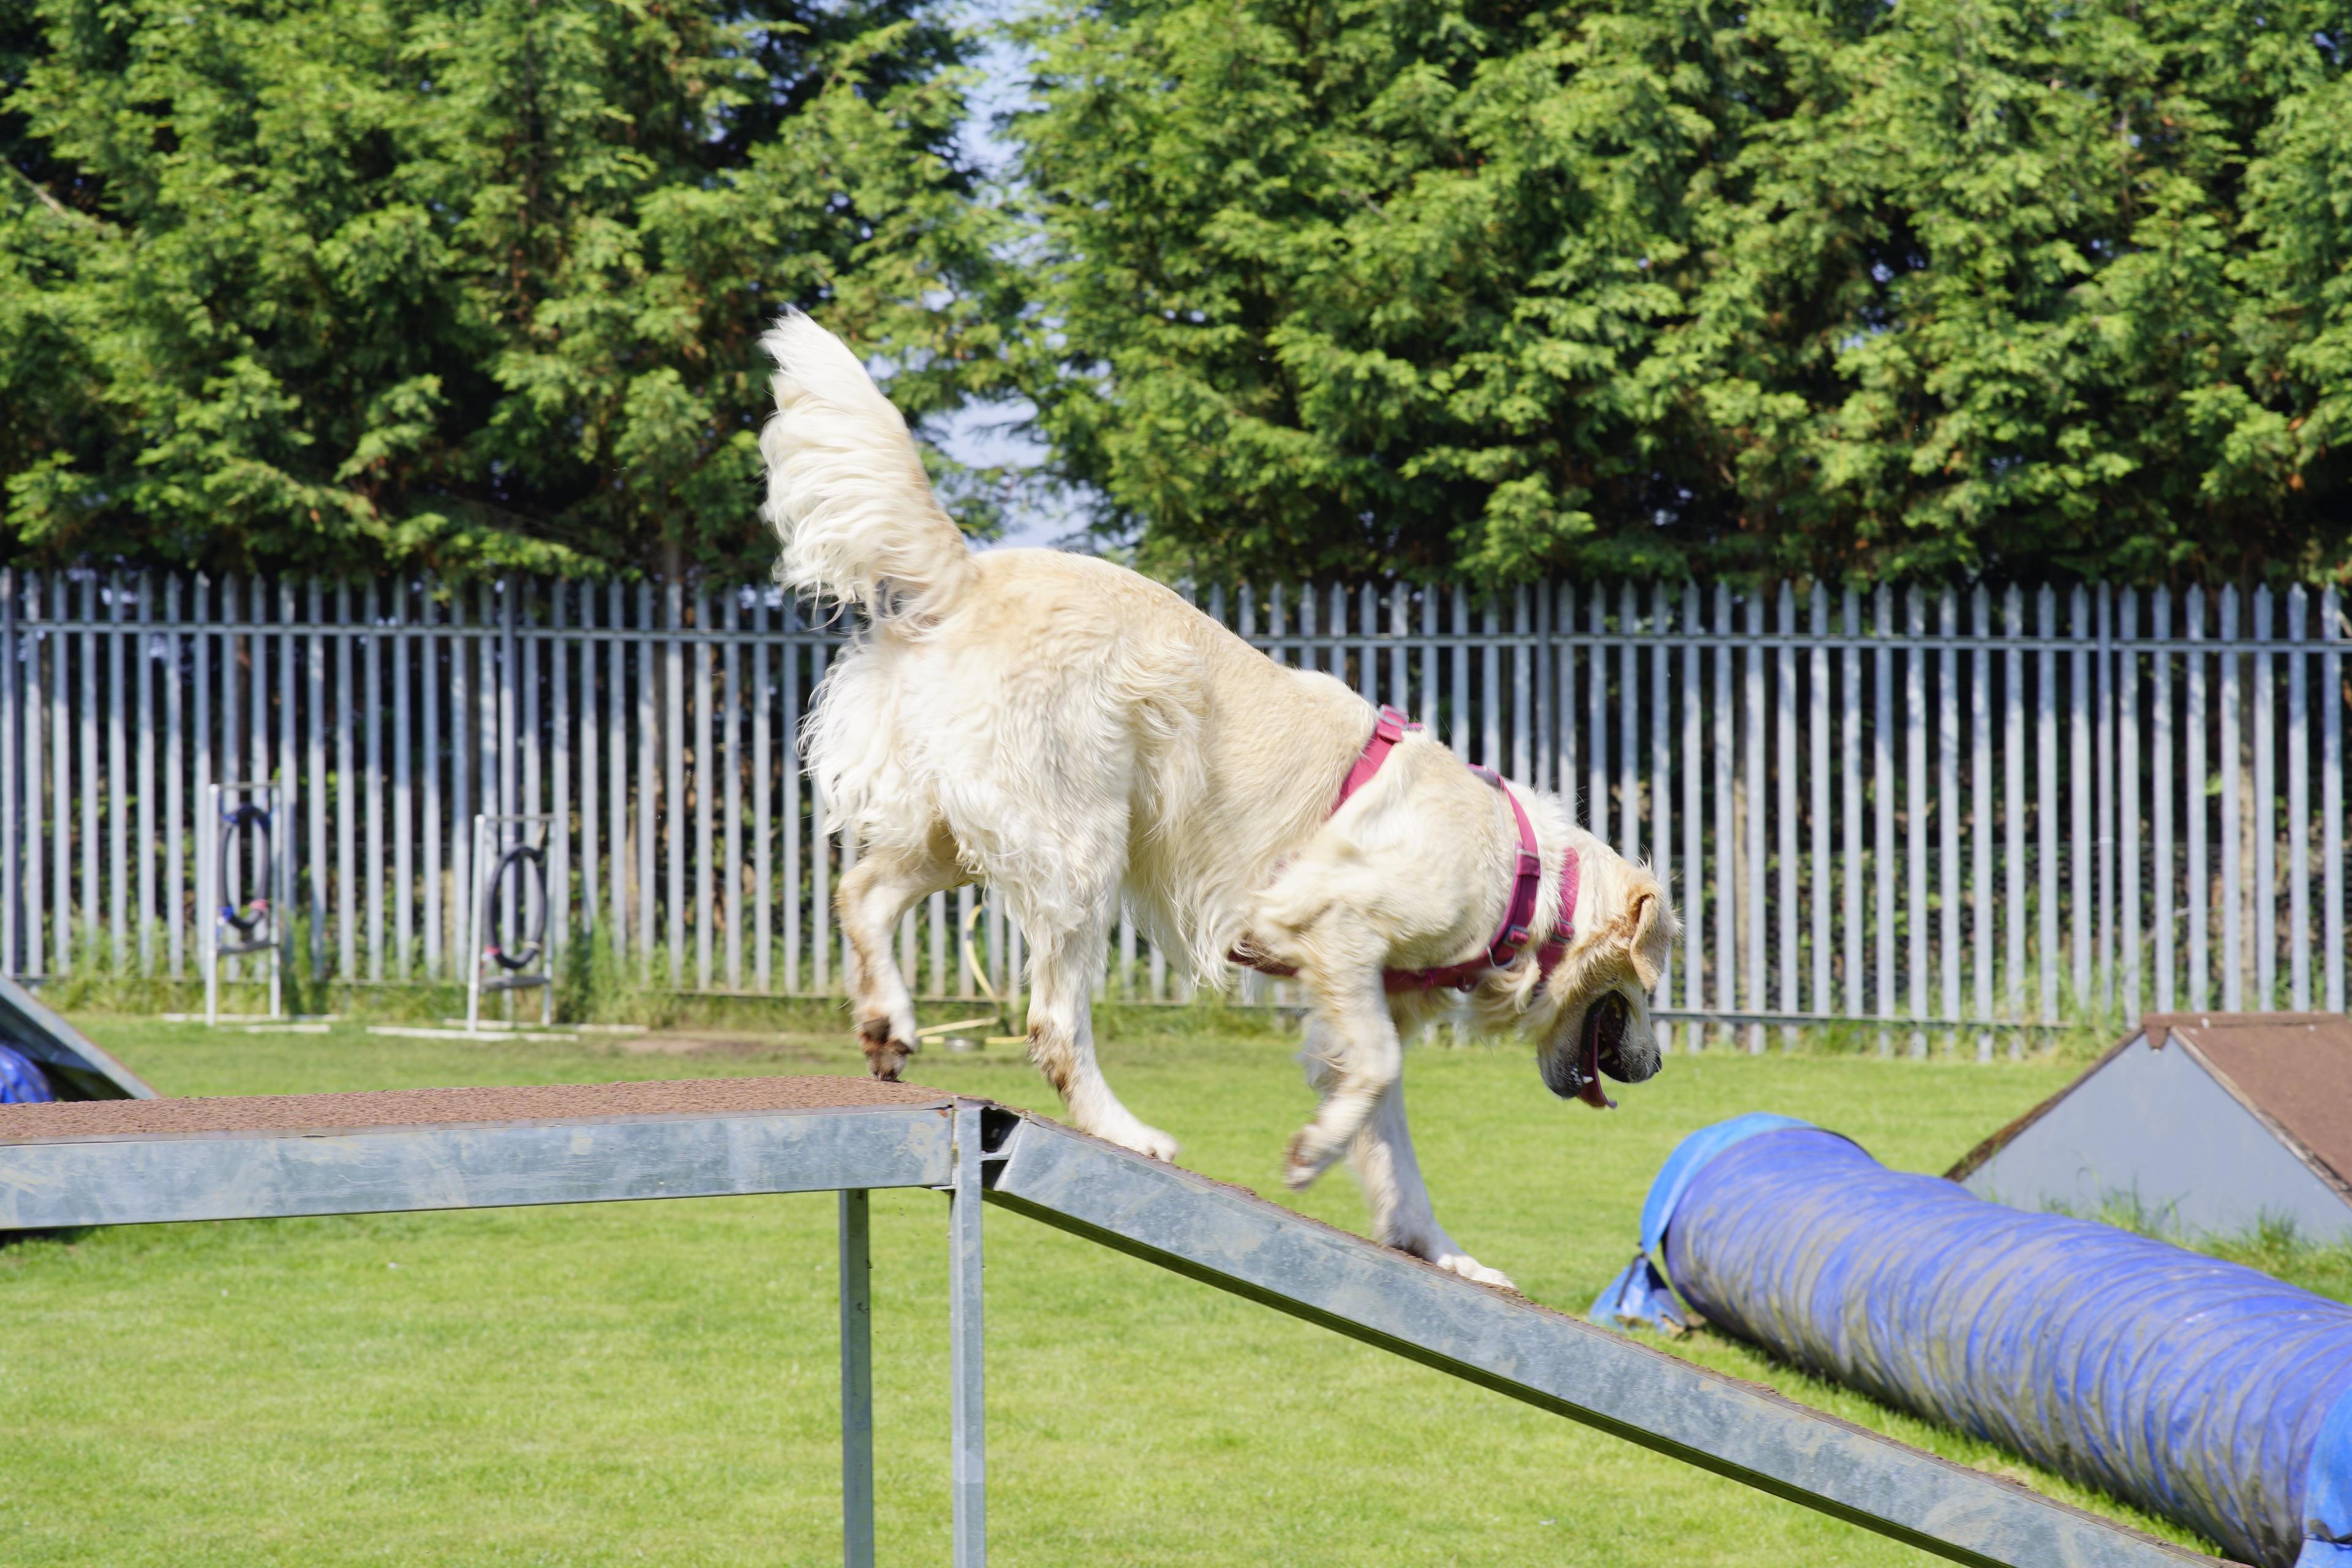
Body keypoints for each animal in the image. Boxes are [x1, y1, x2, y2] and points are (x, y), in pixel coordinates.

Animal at [752, 315, 1675, 1288]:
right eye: (1652, 987)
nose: (1657, 1067)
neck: (1530, 882)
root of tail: (969, 577)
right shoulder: (1334, 927)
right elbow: (1377, 1069)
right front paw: (1312, 1155)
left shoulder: (1361, 988)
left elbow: (1390, 1135)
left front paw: (1444, 1255)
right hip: (1082, 846)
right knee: (1052, 1022)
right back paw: (1127, 1133)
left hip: (969, 832)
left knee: (863, 892)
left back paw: (888, 1022)